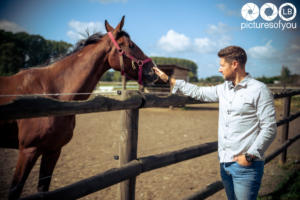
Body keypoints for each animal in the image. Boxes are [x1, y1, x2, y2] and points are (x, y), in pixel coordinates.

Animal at [0, 16, 158, 199]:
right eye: (131, 45)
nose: (153, 71)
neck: (53, 92)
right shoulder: (28, 151)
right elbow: (14, 190)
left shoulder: (53, 150)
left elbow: (43, 188)